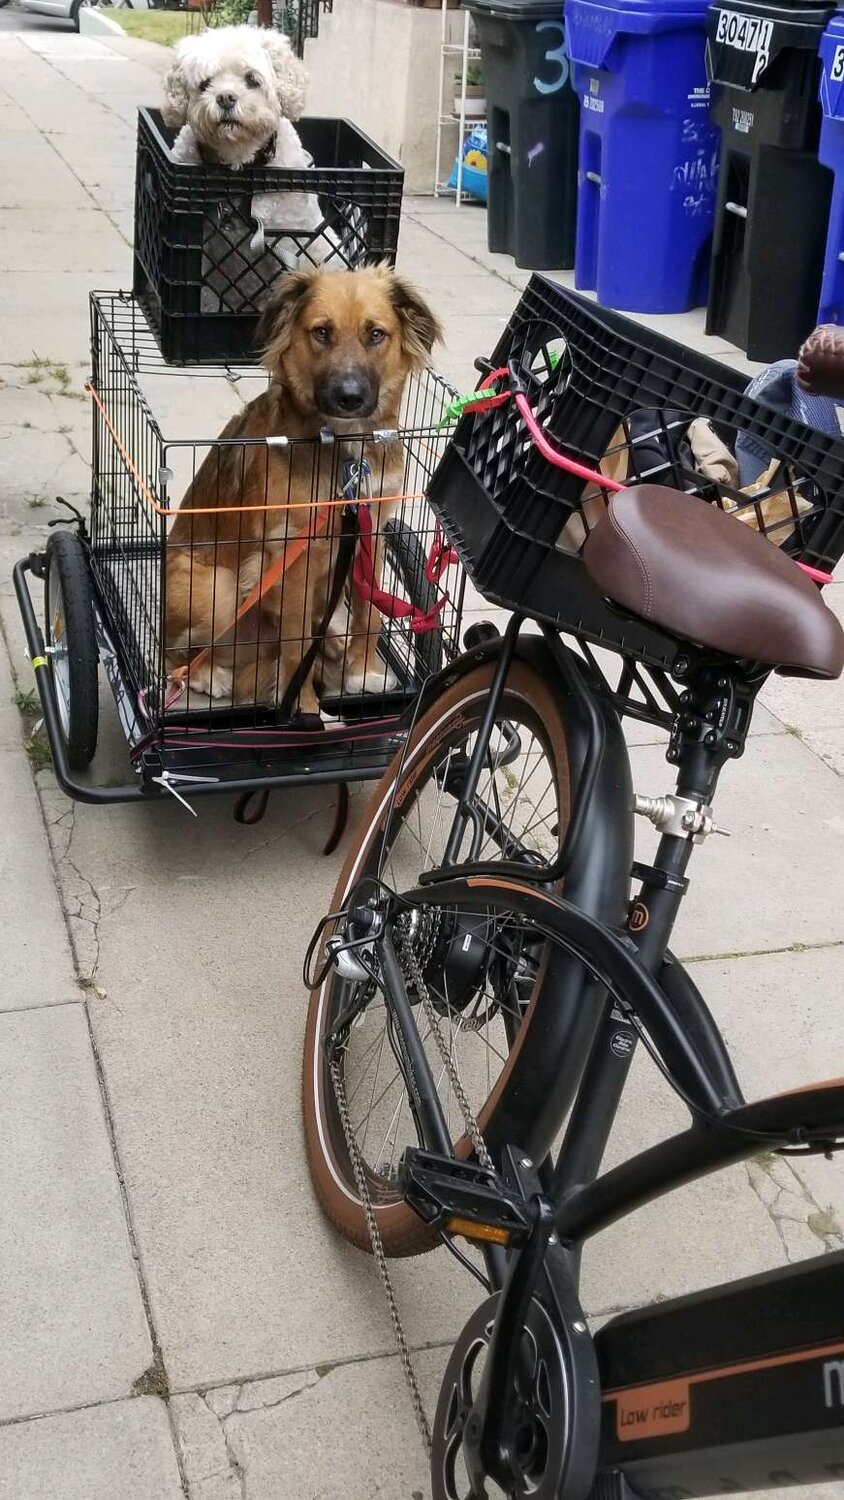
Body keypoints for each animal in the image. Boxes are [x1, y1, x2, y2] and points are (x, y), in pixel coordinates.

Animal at [164, 265, 443, 714]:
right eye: (322, 332)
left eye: (376, 334)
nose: (349, 397)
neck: (345, 452)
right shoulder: (292, 555)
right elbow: (297, 648)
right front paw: (306, 711)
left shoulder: (372, 531)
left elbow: (370, 613)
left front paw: (361, 673)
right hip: (218, 587)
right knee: (179, 657)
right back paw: (210, 675)